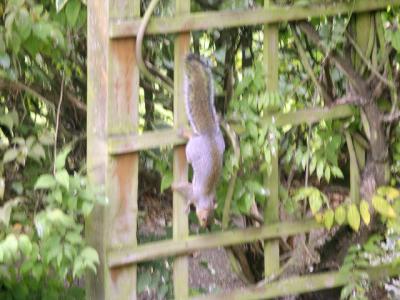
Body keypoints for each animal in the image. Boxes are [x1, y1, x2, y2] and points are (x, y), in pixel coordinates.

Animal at [173, 54, 227, 227]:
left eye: (211, 220)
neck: (206, 198)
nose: (204, 227)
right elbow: (186, 192)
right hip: (192, 150)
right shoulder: (194, 193)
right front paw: (176, 190)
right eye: (204, 219)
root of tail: (208, 134)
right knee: (190, 144)